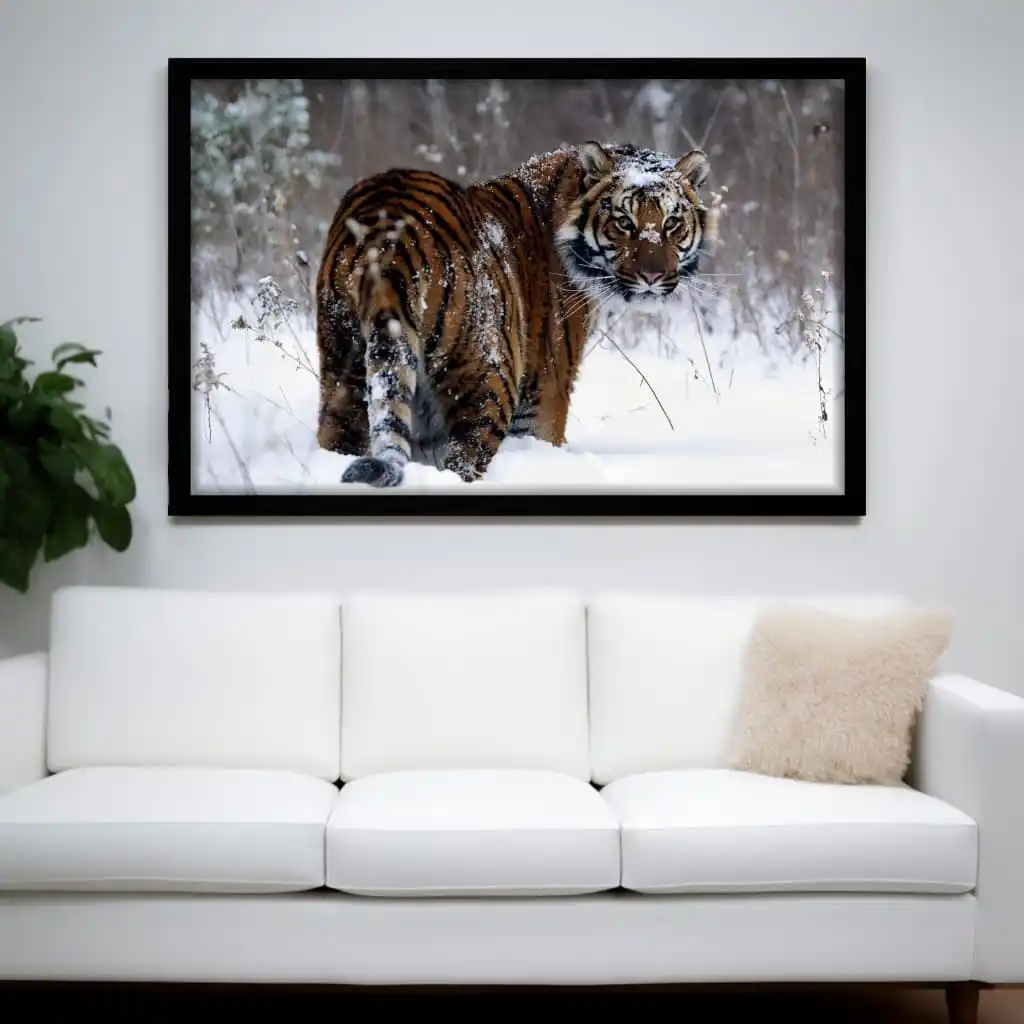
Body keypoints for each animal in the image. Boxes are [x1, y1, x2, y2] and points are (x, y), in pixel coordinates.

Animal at [315, 140, 719, 487]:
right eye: (624, 222)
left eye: (671, 224)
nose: (652, 277)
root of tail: (389, 233)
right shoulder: (545, 391)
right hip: (488, 380)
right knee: (464, 459)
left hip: (343, 368)